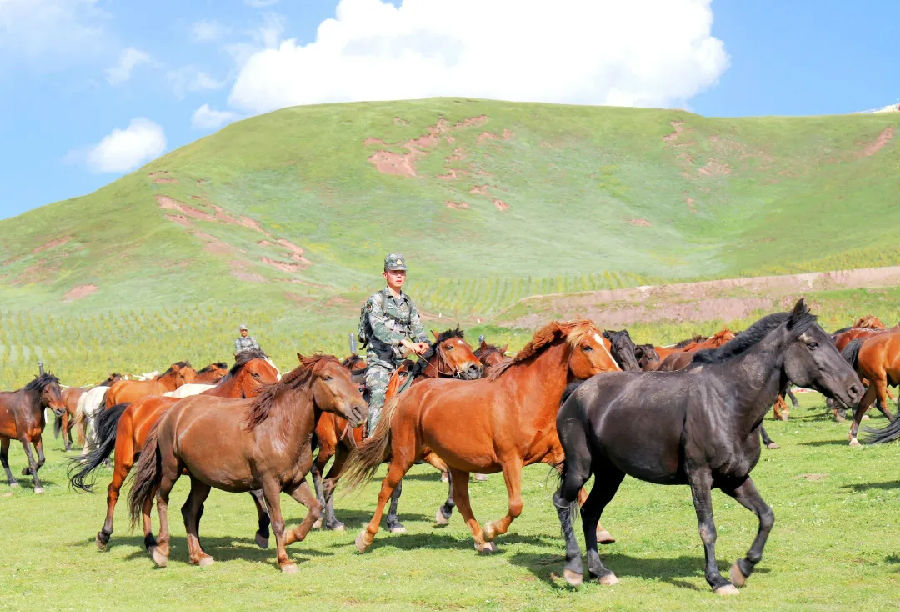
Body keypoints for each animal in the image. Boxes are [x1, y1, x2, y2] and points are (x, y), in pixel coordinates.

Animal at [70, 346, 276, 552]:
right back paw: (104, 535)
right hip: (124, 460)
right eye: (256, 374)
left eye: (274, 371)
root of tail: (131, 407)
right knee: (113, 491)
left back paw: (150, 541)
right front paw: (262, 531)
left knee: (146, 500)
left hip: (153, 470)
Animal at [127, 356, 366, 572]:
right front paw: (284, 561)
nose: (360, 411)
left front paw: (291, 537)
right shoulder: (270, 484)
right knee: (161, 500)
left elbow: (315, 509)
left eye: (349, 375)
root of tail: (171, 413)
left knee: (189, 511)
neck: (280, 427)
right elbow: (277, 521)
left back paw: (199, 556)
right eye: (327, 377)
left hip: (200, 480)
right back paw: (161, 552)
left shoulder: (295, 482)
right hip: (171, 471)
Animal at [312, 330, 488, 532]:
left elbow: (450, 475)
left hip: (345, 450)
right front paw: (393, 522)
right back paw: (318, 516)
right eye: (449, 346)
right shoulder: (396, 457)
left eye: (468, 345)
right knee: (316, 470)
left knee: (330, 481)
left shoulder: (429, 454)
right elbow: (396, 488)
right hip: (328, 445)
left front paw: (445, 511)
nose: (476, 368)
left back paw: (333, 522)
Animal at [348, 320, 624, 556]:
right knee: (387, 489)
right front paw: (493, 530)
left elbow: (581, 492)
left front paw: (603, 533)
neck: (524, 397)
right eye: (587, 346)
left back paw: (480, 540)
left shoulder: (556, 457)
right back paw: (367, 537)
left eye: (607, 344)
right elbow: (516, 506)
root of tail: (408, 394)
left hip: (456, 462)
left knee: (460, 499)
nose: (616, 375)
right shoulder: (510, 461)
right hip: (404, 456)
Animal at [552, 298, 860, 596]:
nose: (855, 389)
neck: (727, 402)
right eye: (812, 344)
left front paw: (743, 568)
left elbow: (766, 516)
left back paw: (600, 572)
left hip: (611, 474)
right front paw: (718, 580)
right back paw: (574, 570)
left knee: (590, 512)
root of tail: (577, 393)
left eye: (830, 340)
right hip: (581, 468)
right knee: (563, 503)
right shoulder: (700, 477)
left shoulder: (735, 478)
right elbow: (707, 528)